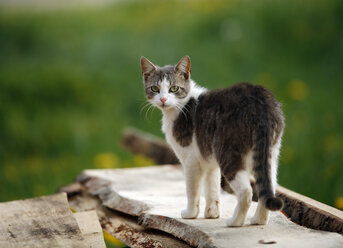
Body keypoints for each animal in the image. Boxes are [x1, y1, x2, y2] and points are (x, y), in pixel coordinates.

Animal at [140, 55, 284, 227]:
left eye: (174, 88)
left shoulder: (191, 161)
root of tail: (259, 101)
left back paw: (234, 222)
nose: (162, 99)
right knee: (269, 186)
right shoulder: (209, 160)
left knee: (246, 191)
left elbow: (192, 190)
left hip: (227, 152)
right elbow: (212, 188)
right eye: (155, 88)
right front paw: (212, 214)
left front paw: (190, 214)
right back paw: (258, 221)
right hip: (269, 153)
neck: (180, 107)